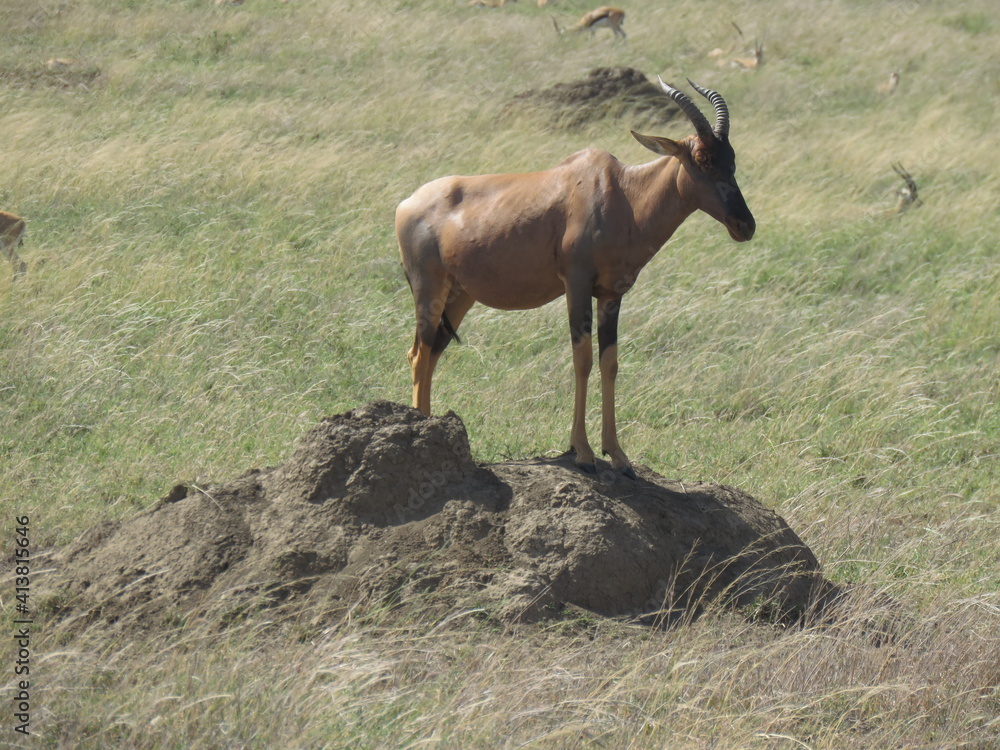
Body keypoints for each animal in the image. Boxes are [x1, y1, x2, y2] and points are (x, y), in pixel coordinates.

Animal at [397, 80, 755, 478]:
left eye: (732, 158)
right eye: (703, 159)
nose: (745, 225)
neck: (622, 192)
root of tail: (407, 203)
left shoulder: (612, 294)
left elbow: (609, 363)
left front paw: (618, 456)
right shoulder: (577, 284)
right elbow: (581, 358)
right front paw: (582, 453)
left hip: (460, 295)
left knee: (431, 353)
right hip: (429, 288)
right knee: (419, 353)